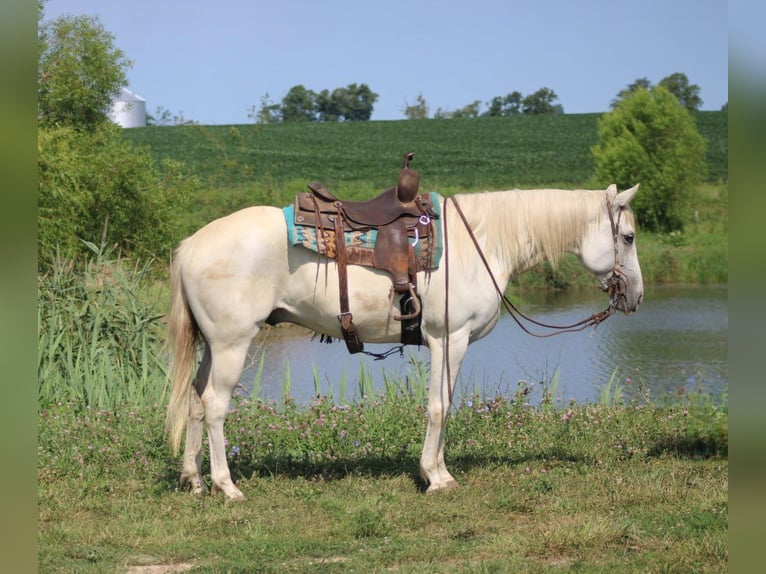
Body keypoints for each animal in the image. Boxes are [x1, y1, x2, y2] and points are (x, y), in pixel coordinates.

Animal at [165, 183, 643, 500]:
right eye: (629, 237)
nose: (636, 297)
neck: (481, 243)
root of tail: (191, 245)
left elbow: (444, 405)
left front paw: (438, 470)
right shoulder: (449, 340)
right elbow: (440, 406)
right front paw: (436, 476)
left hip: (213, 347)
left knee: (195, 399)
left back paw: (193, 479)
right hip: (232, 344)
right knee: (215, 405)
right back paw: (227, 486)